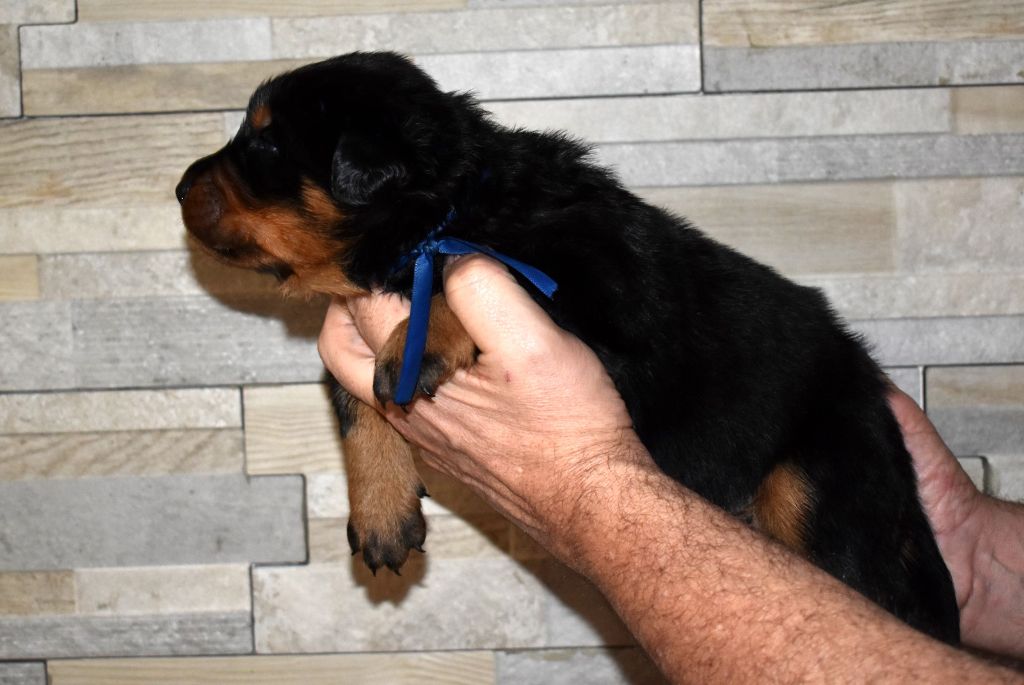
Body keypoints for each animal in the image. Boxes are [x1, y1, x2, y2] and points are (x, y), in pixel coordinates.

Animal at [177, 52, 959, 643]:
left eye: (266, 145)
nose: (180, 187)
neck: (444, 215)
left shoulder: (610, 312)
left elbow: (469, 270)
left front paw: (420, 342)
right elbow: (350, 395)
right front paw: (382, 514)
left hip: (819, 478)